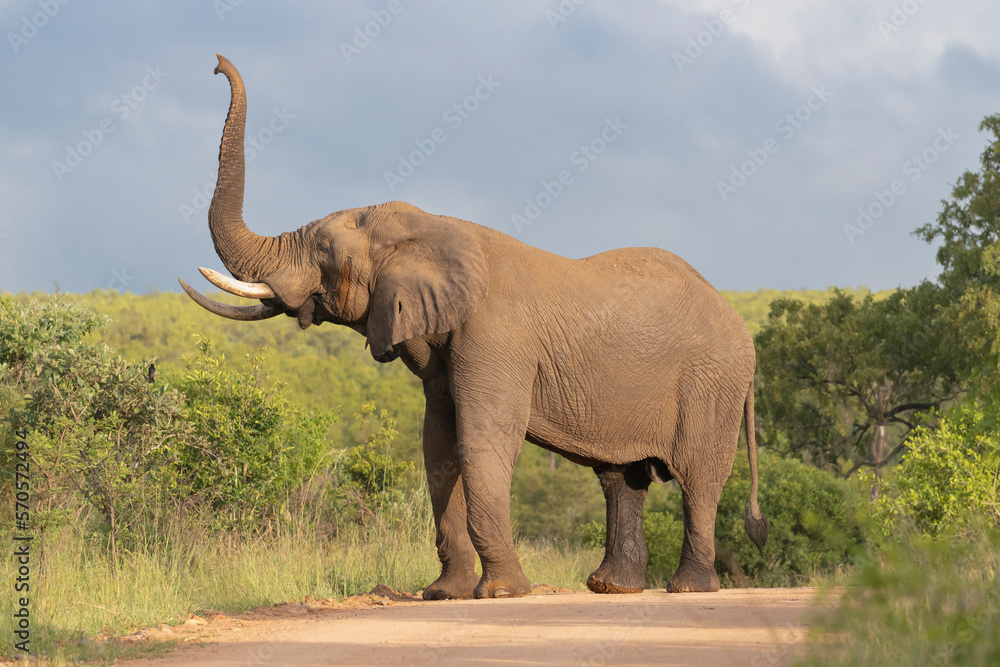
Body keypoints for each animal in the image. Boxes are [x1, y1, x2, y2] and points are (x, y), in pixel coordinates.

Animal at [180, 55, 769, 599]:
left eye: (323, 249)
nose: (215, 64)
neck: (429, 225)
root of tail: (741, 327)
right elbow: (438, 447)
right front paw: (445, 594)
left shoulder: (495, 338)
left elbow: (481, 441)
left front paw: (503, 592)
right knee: (620, 477)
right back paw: (611, 587)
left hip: (712, 383)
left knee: (699, 477)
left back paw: (688, 588)